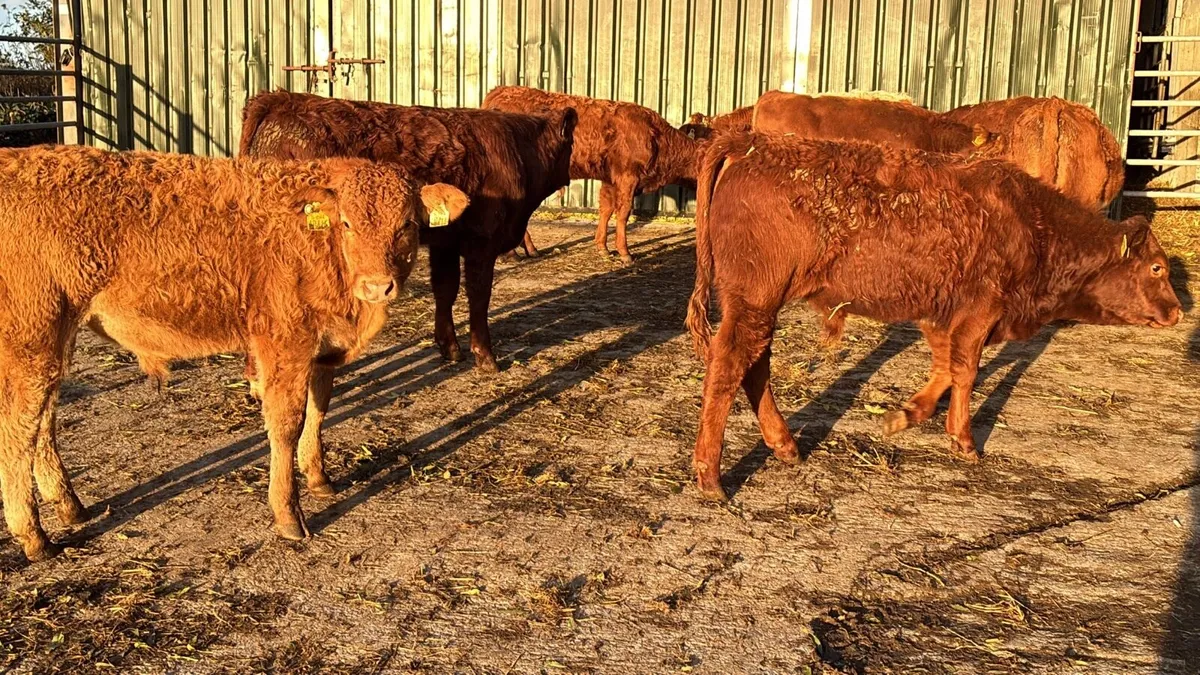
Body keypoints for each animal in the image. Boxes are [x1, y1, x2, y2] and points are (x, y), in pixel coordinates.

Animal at [0, 144, 468, 561]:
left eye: (407, 224)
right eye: (348, 223)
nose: (377, 285)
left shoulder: (320, 348)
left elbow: (319, 410)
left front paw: (319, 478)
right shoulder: (284, 342)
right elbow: (286, 423)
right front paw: (289, 515)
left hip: (56, 339)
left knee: (44, 418)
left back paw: (69, 506)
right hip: (30, 338)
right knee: (19, 425)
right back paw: (34, 537)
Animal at [239, 90, 576, 373]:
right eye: (571, 144)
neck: (517, 150)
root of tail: (280, 100)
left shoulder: (445, 242)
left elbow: (445, 289)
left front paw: (449, 348)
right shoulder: (481, 242)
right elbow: (479, 297)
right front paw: (486, 357)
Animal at [483, 86, 699, 264]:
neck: (654, 136)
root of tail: (499, 91)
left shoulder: (610, 179)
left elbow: (606, 209)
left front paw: (603, 247)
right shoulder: (627, 177)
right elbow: (623, 213)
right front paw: (625, 253)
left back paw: (530, 250)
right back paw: (511, 254)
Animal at [684, 132, 1181, 501]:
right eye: (1157, 268)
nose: (1177, 311)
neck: (1030, 222)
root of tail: (747, 143)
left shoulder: (938, 315)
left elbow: (945, 368)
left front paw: (904, 415)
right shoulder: (980, 312)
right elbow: (965, 371)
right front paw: (963, 441)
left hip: (757, 305)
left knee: (754, 366)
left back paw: (786, 447)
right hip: (755, 301)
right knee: (730, 365)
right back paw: (711, 478)